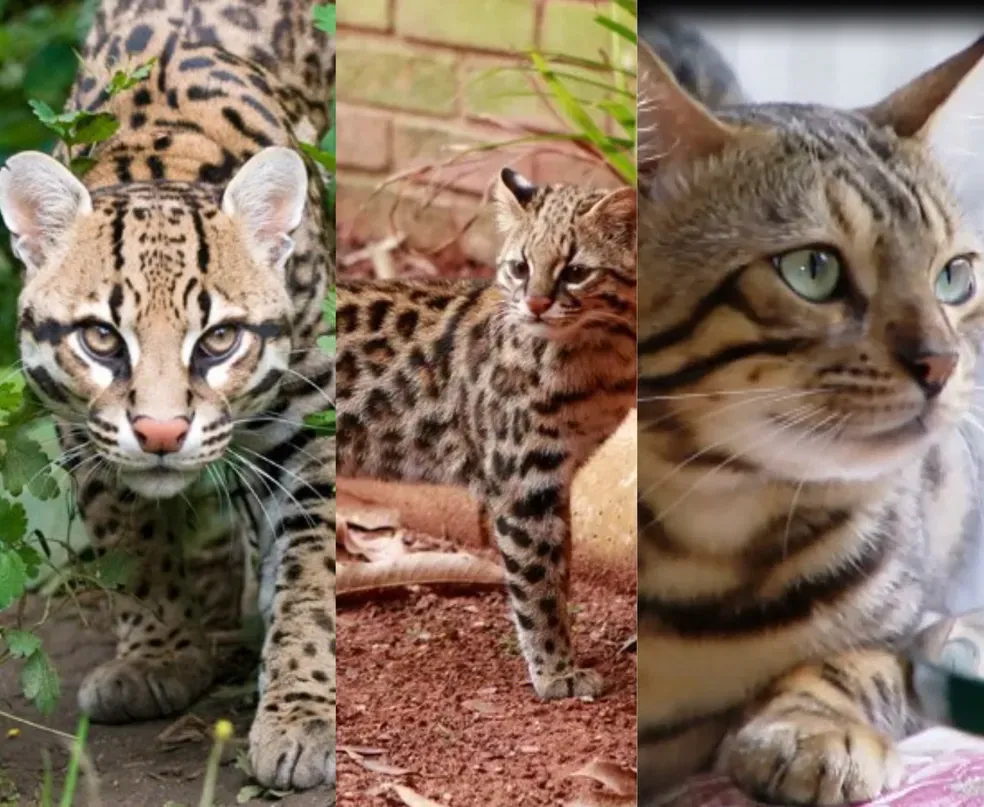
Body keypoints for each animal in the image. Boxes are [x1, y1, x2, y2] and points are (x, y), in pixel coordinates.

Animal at [0, 0, 336, 792]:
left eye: (219, 340)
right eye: (100, 338)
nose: (160, 433)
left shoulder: (309, 415)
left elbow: (313, 568)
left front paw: (301, 710)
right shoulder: (79, 428)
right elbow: (130, 534)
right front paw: (161, 655)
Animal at [336, 168, 637, 700]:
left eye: (575, 271)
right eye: (520, 267)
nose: (535, 304)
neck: (598, 354)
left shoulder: (559, 475)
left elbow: (560, 570)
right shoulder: (522, 483)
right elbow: (536, 583)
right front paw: (556, 671)